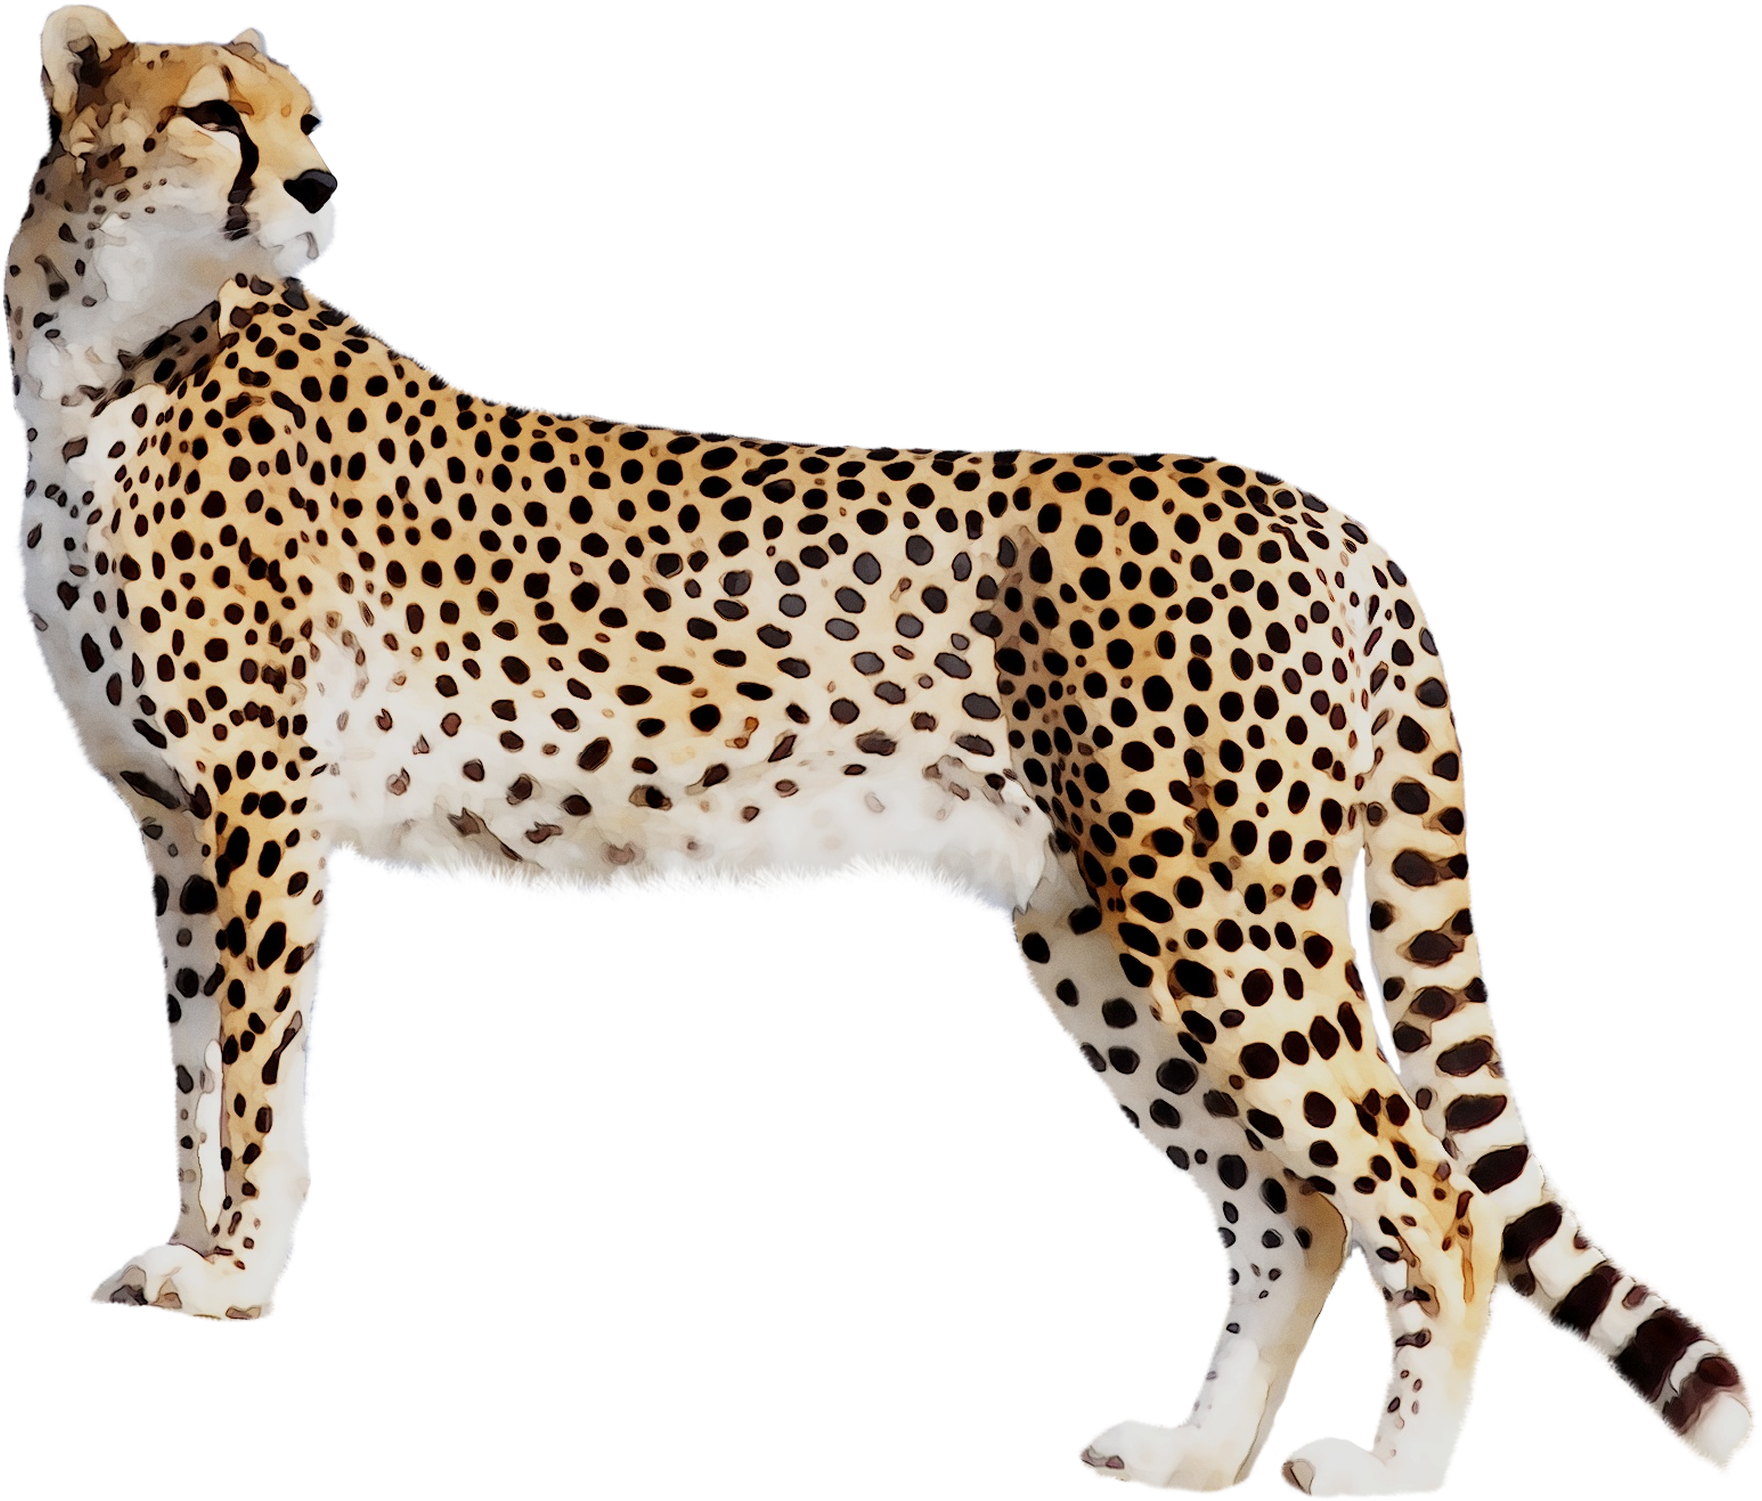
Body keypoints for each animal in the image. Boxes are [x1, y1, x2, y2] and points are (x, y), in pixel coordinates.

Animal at [8, 7, 1754, 1495]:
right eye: (214, 113)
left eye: (308, 121)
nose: (317, 188)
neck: (102, 357)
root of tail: (1317, 506)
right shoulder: (171, 830)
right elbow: (192, 1070)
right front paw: (188, 1254)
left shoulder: (258, 812)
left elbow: (254, 1076)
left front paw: (234, 1278)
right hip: (1090, 934)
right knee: (1290, 1209)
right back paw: (1197, 1454)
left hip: (1218, 914)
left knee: (1430, 1194)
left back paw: (1388, 1471)